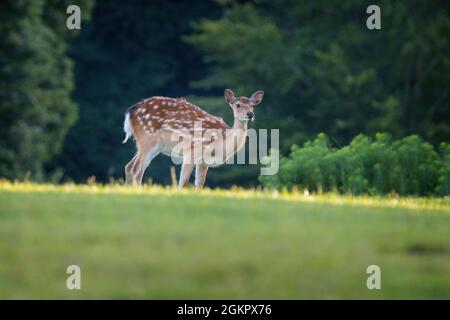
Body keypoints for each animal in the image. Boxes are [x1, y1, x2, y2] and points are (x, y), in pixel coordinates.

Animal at [123, 88, 264, 188]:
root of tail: (131, 112)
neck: (220, 141)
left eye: (252, 105)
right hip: (148, 138)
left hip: (152, 145)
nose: (250, 114)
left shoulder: (203, 161)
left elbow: (200, 184)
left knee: (129, 167)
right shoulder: (191, 151)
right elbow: (183, 182)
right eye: (238, 105)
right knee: (136, 169)